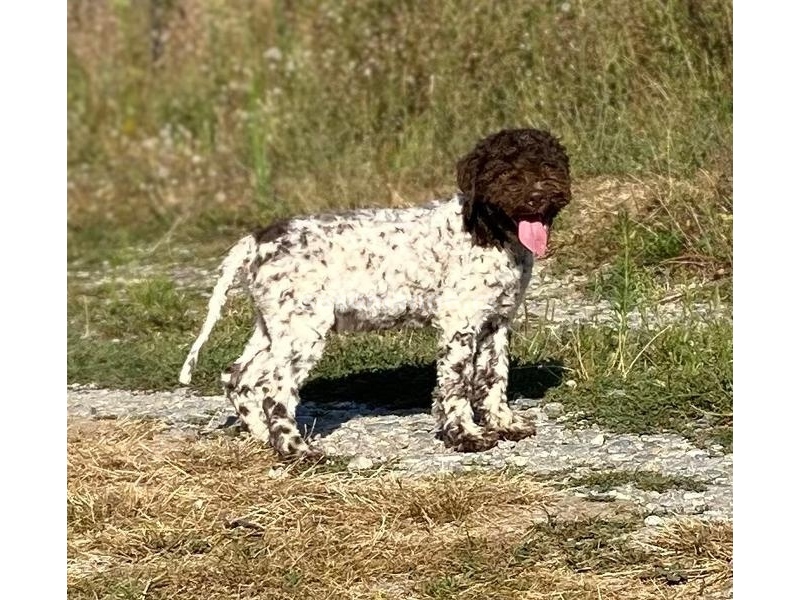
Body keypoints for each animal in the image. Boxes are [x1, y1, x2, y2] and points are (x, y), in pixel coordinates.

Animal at [179, 129, 572, 460]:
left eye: (548, 165)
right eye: (504, 170)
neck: (488, 231)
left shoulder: (496, 322)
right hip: (303, 331)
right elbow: (457, 385)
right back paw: (297, 450)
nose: (537, 196)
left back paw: (264, 438)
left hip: (276, 326)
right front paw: (466, 435)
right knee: (274, 389)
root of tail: (258, 239)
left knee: (239, 376)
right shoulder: (459, 323)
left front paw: (504, 423)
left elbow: (493, 379)